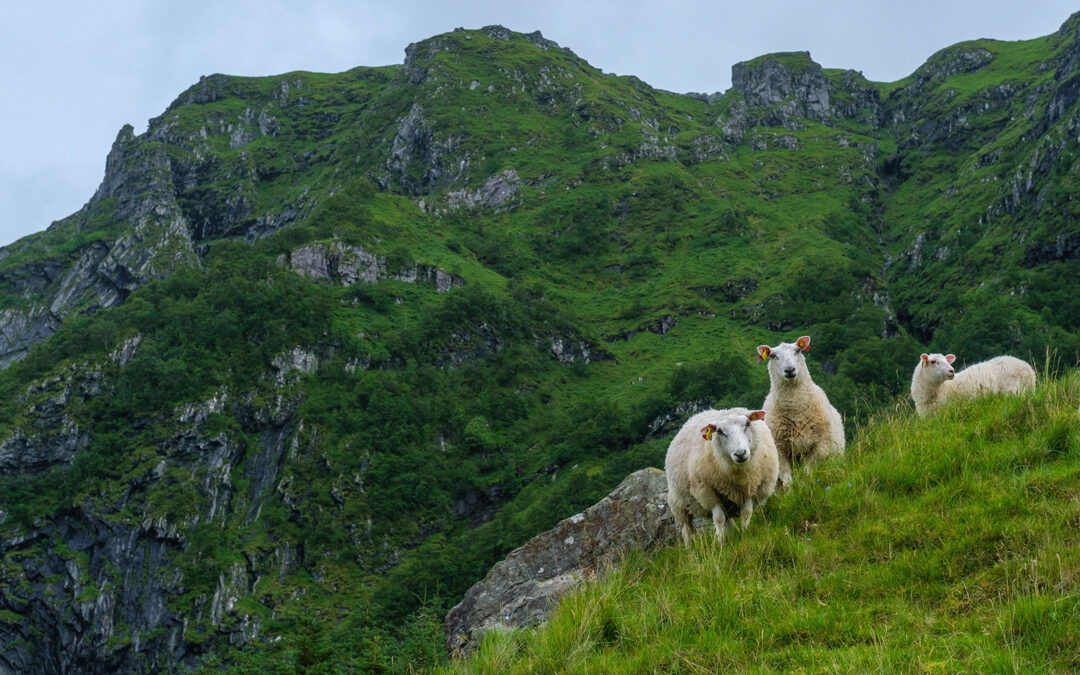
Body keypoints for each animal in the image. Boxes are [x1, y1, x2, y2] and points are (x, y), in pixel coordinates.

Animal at [660, 406, 781, 542]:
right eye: (719, 431)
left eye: (748, 424)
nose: (740, 453)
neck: (739, 476)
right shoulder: (708, 492)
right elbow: (718, 518)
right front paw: (719, 541)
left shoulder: (751, 489)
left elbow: (746, 513)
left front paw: (745, 533)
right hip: (679, 503)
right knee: (687, 529)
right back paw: (690, 544)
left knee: (728, 520)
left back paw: (734, 531)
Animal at [760, 334, 842, 483]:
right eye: (773, 355)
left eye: (798, 350)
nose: (790, 370)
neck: (796, 412)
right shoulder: (779, 450)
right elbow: (787, 478)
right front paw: (791, 488)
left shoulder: (821, 446)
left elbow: (807, 473)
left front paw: (806, 484)